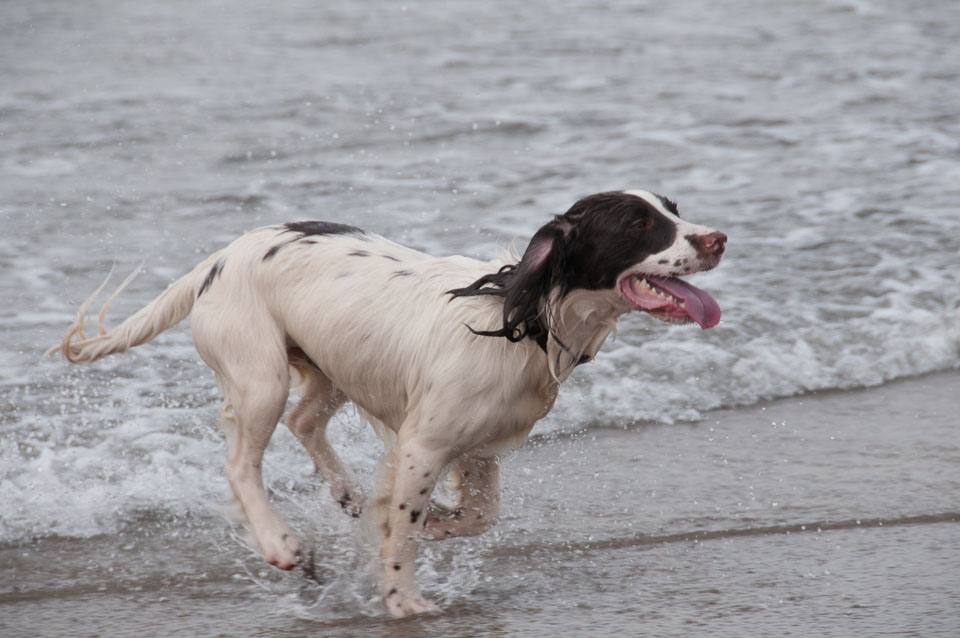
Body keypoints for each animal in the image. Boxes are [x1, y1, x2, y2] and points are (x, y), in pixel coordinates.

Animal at [48, 191, 724, 620]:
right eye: (638, 224)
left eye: (673, 211)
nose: (719, 238)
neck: (524, 318)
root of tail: (218, 260)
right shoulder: (426, 443)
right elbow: (403, 528)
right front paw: (403, 599)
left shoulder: (474, 449)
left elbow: (479, 516)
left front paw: (436, 522)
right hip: (260, 375)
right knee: (241, 463)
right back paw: (283, 545)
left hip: (330, 366)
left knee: (303, 420)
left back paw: (344, 492)